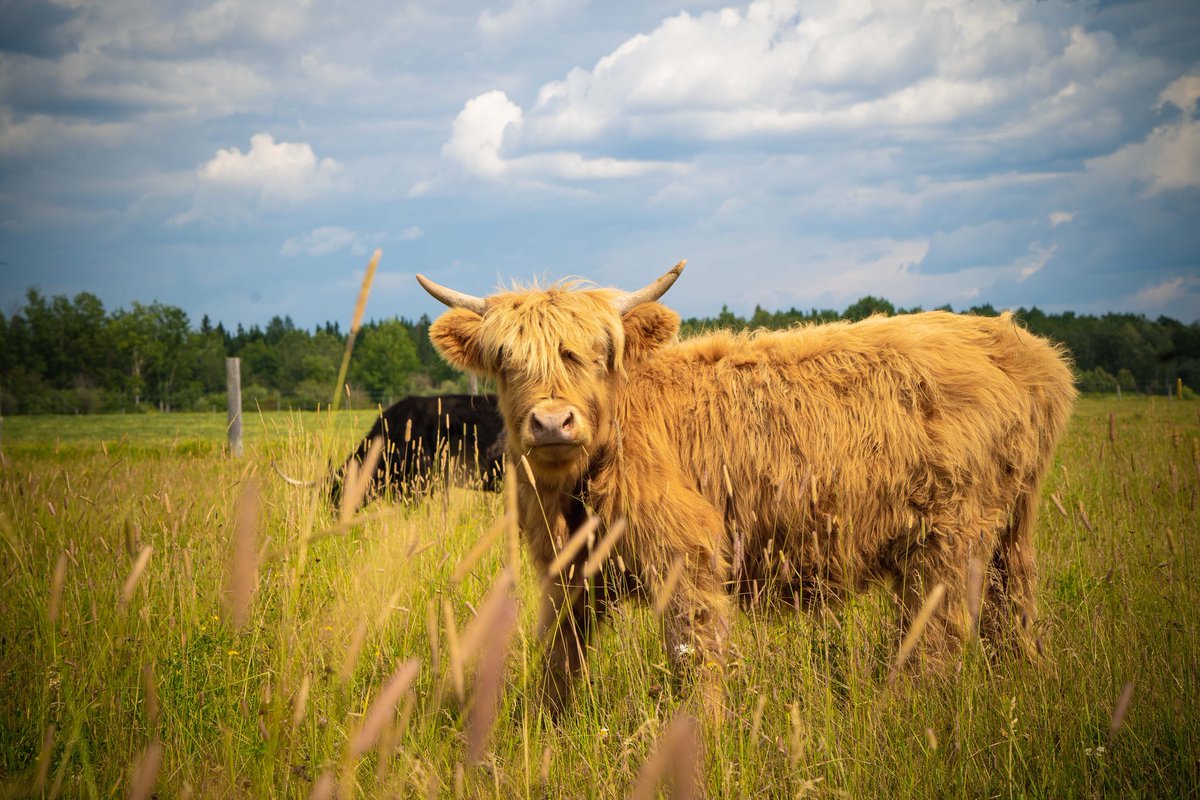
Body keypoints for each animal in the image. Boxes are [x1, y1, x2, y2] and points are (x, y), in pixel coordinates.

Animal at [416, 262, 1076, 721]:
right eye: (506, 359)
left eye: (597, 355)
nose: (553, 422)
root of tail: (1022, 346)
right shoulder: (571, 569)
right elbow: (560, 652)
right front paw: (543, 728)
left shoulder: (689, 555)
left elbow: (695, 651)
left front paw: (699, 733)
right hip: (1012, 529)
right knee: (1013, 609)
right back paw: (1022, 681)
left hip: (947, 539)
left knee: (935, 637)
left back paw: (908, 715)